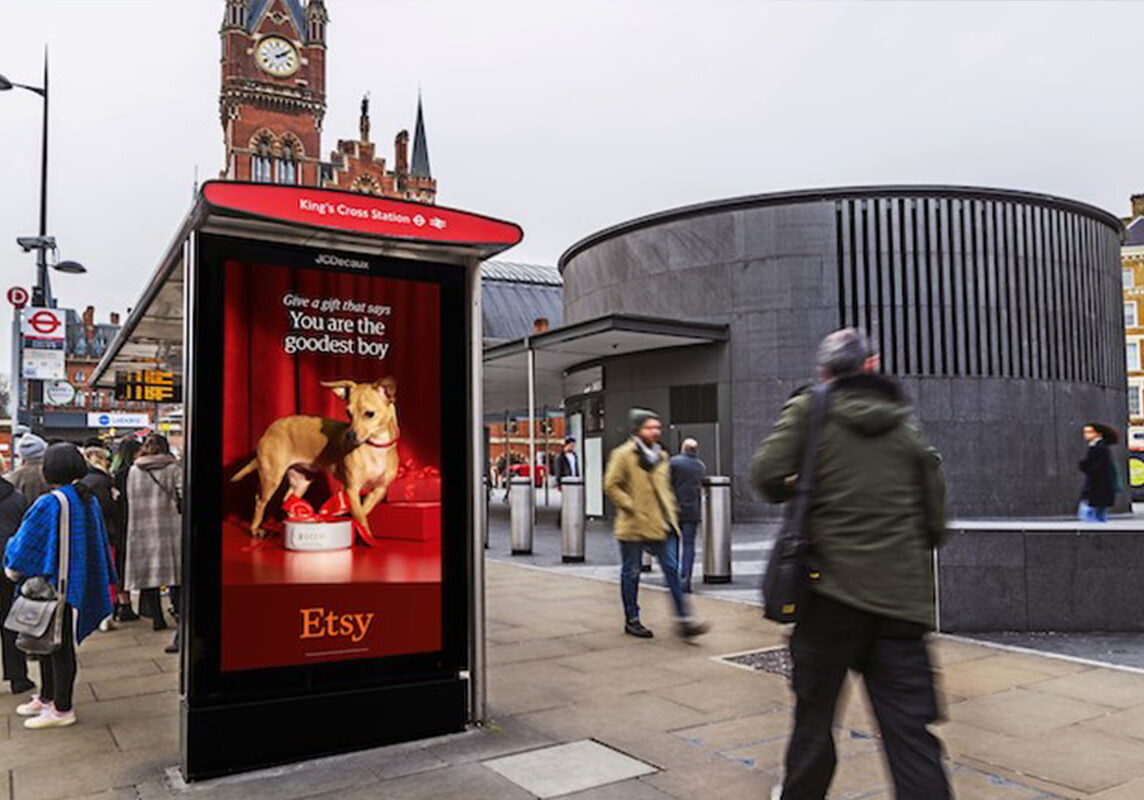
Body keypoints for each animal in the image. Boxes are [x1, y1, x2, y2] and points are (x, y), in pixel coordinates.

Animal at [229, 377, 400, 542]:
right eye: (348, 413)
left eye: (369, 414)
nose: (350, 435)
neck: (375, 448)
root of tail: (271, 429)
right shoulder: (351, 489)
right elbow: (360, 516)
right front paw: (364, 533)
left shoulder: (378, 490)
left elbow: (362, 512)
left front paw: (356, 528)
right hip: (271, 478)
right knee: (260, 501)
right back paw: (255, 529)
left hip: (302, 481)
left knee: (288, 499)